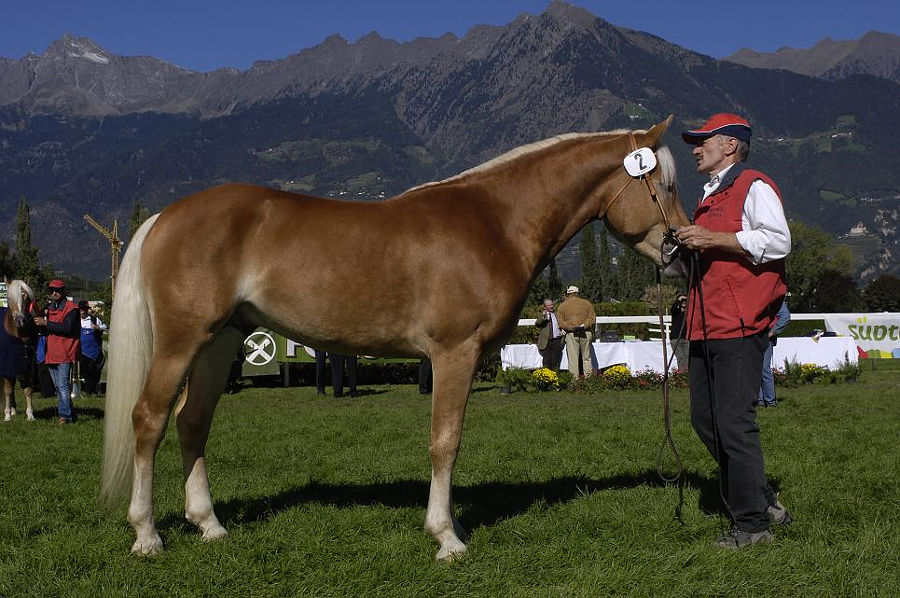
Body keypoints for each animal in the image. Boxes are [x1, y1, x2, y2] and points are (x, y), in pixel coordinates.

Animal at [98, 117, 688, 564]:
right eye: (666, 186)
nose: (678, 251)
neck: (494, 222)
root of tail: (165, 217)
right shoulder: (454, 353)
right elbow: (445, 441)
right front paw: (447, 537)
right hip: (181, 343)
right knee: (148, 419)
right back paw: (147, 535)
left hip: (220, 343)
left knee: (192, 421)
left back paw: (210, 525)